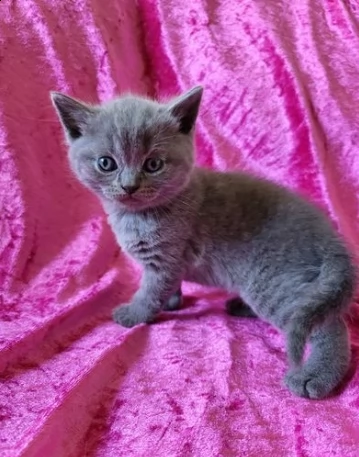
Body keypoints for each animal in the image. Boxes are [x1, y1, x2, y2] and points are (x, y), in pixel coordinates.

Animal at [51, 87, 358, 398]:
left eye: (153, 164)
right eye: (106, 163)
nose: (129, 186)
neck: (138, 216)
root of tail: (332, 239)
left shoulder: (165, 261)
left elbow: (149, 292)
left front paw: (134, 314)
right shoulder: (169, 265)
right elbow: (168, 288)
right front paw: (173, 302)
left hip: (271, 281)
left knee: (325, 324)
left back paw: (314, 376)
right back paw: (240, 307)